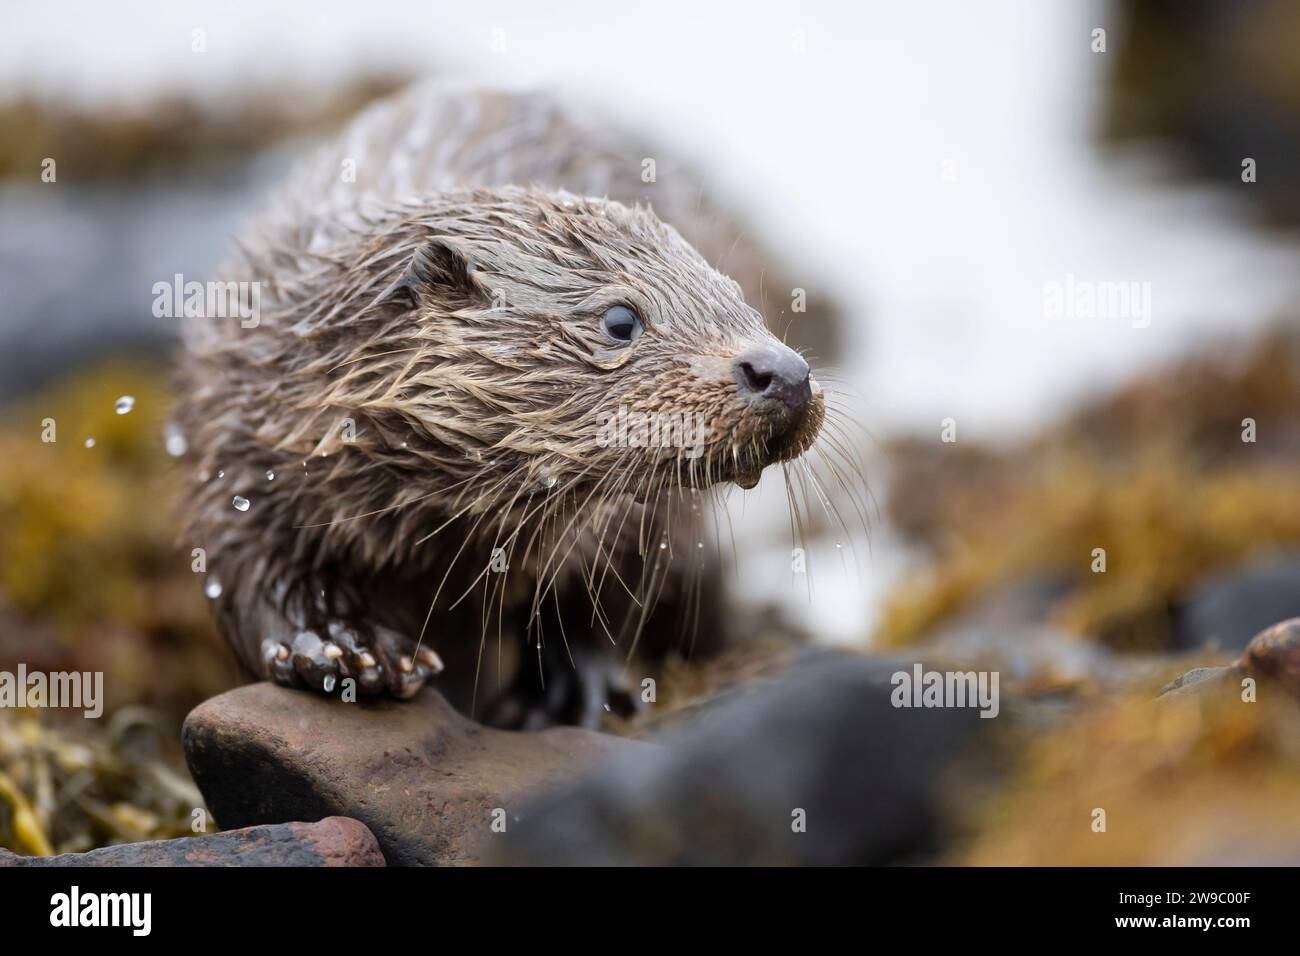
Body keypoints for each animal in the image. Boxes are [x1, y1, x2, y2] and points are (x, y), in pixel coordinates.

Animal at [177, 81, 828, 727]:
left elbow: (608, 592)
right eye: (620, 320)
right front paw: (344, 647)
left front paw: (572, 689)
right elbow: (250, 569)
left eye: (737, 294)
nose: (786, 373)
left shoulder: (645, 524)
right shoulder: (237, 444)